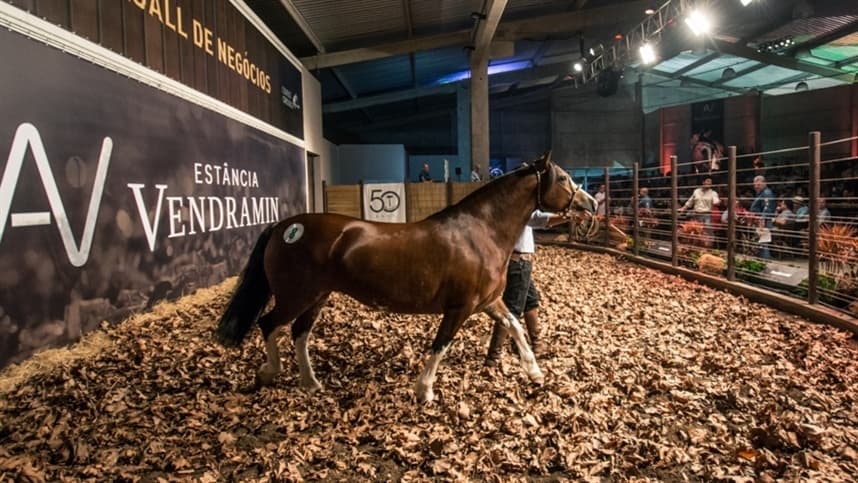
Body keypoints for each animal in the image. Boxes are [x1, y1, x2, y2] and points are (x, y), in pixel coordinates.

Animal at [216, 152, 597, 403]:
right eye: (564, 178)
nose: (591, 204)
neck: (480, 232)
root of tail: (285, 226)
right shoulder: (459, 308)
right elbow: (441, 344)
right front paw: (424, 391)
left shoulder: (488, 302)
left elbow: (515, 325)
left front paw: (535, 372)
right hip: (297, 295)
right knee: (268, 324)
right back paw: (270, 372)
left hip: (318, 296)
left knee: (298, 332)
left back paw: (311, 383)